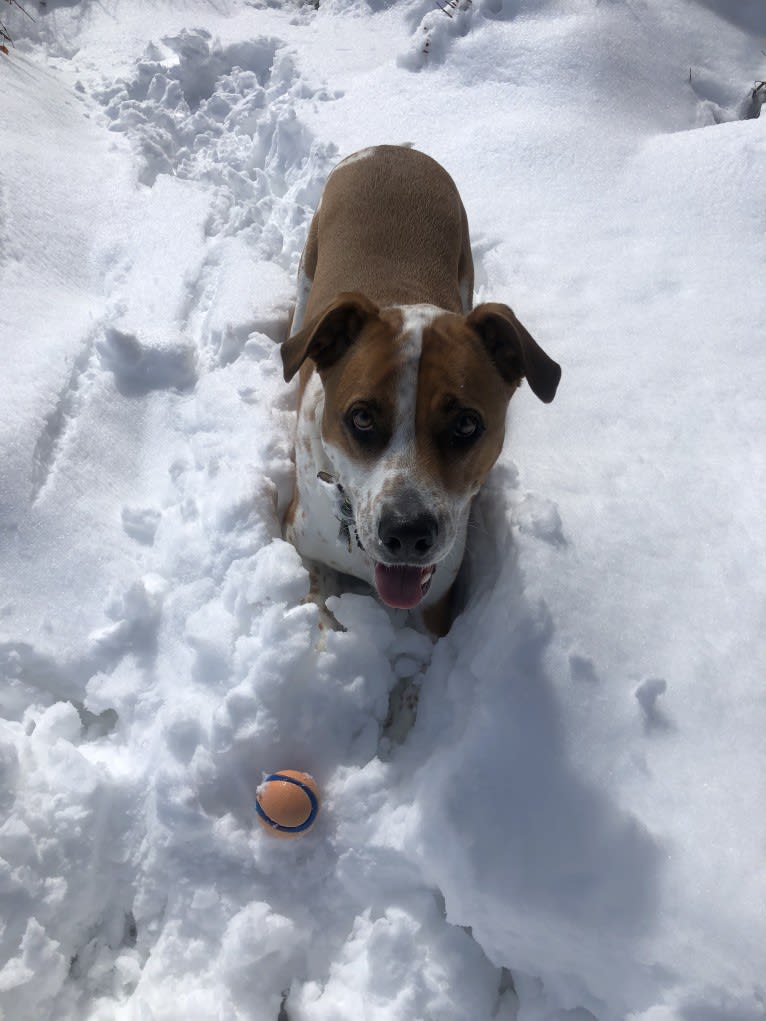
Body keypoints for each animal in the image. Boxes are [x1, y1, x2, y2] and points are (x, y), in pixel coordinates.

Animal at [279, 147, 559, 633]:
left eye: (466, 424)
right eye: (362, 417)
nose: (408, 533)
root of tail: (396, 149)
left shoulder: (439, 596)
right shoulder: (300, 539)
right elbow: (321, 608)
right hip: (307, 273)